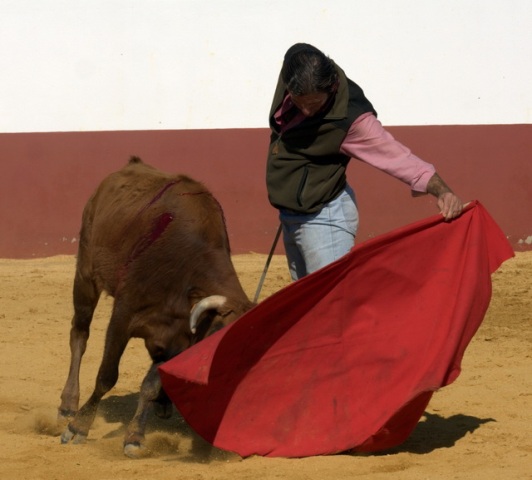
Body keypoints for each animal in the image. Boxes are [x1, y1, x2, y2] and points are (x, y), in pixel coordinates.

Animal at [58, 158, 254, 458]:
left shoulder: (179, 339)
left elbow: (150, 385)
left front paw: (135, 437)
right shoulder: (122, 318)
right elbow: (106, 375)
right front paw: (79, 426)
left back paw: (163, 403)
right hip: (85, 275)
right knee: (79, 335)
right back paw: (68, 404)